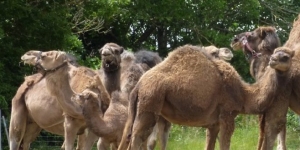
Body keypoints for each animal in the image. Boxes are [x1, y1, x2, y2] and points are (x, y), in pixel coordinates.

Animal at [118, 44, 296, 150]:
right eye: (277, 54)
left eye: (285, 56)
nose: (273, 60)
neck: (244, 95)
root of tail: (139, 86)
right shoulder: (227, 115)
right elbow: (225, 145)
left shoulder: (213, 124)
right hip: (150, 102)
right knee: (137, 138)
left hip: (137, 107)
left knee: (127, 136)